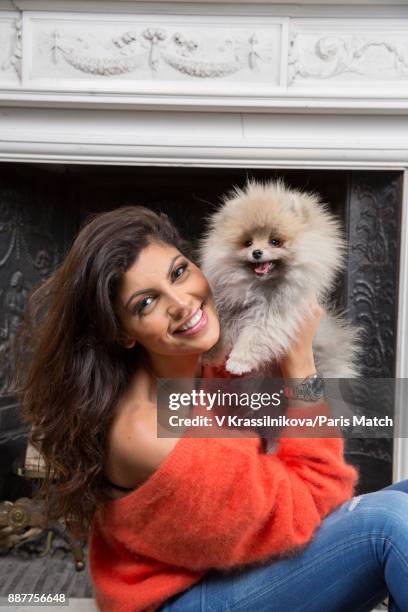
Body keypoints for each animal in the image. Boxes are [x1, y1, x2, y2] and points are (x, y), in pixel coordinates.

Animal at [198, 178, 360, 378]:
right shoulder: (229, 307)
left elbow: (255, 336)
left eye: (275, 241)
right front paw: (211, 355)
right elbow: (220, 332)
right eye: (248, 242)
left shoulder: (274, 313)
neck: (258, 287)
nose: (257, 252)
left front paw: (238, 361)